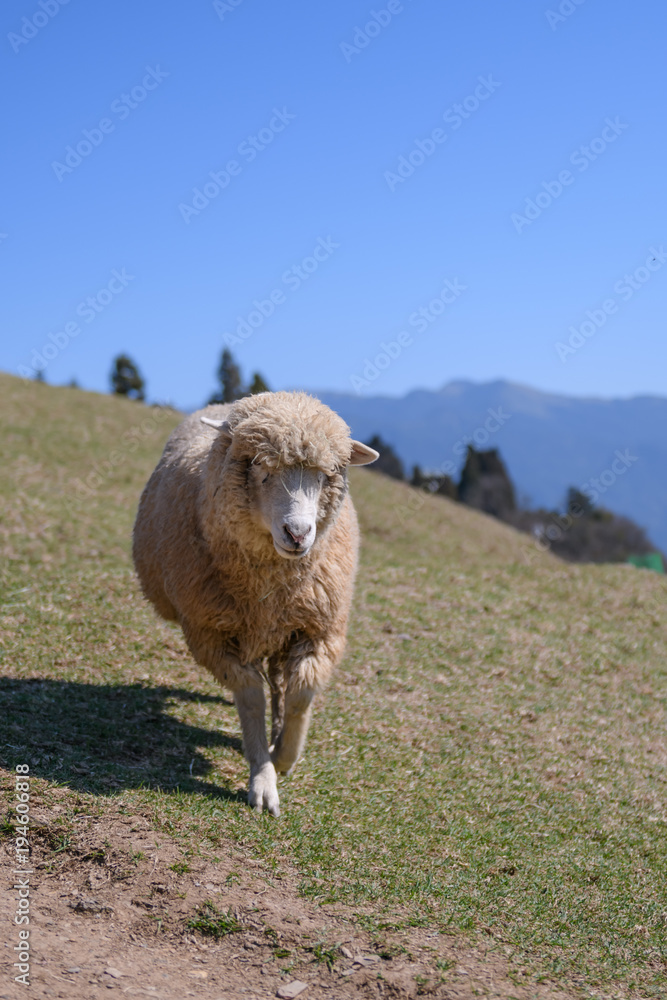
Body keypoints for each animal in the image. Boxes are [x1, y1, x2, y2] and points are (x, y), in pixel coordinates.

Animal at [132, 391, 378, 815]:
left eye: (324, 474)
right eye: (260, 465)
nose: (298, 533)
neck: (269, 587)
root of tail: (226, 403)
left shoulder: (319, 629)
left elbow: (301, 694)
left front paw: (284, 755)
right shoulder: (212, 636)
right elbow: (250, 701)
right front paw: (263, 777)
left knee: (281, 685)